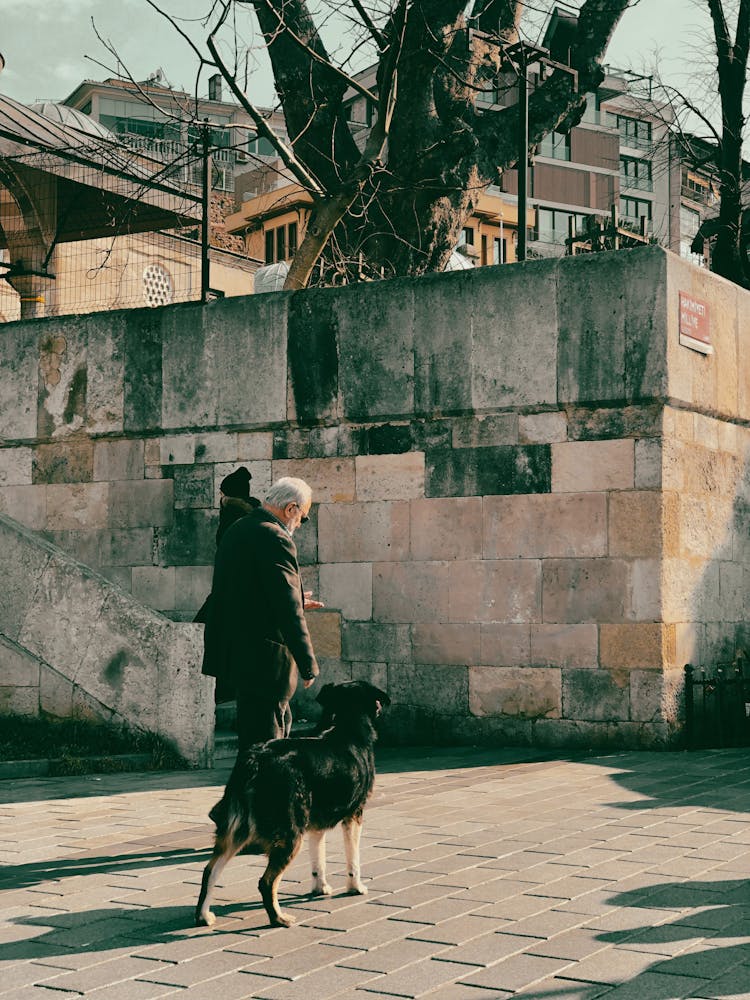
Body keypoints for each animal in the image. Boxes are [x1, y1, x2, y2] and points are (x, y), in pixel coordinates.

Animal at [197, 680, 390, 928]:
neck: (349, 730)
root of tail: (255, 759)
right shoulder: (355, 814)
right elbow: (353, 859)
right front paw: (356, 887)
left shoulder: (316, 823)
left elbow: (318, 859)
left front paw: (320, 888)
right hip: (290, 833)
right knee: (266, 882)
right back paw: (278, 918)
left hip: (238, 830)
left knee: (210, 871)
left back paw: (203, 915)